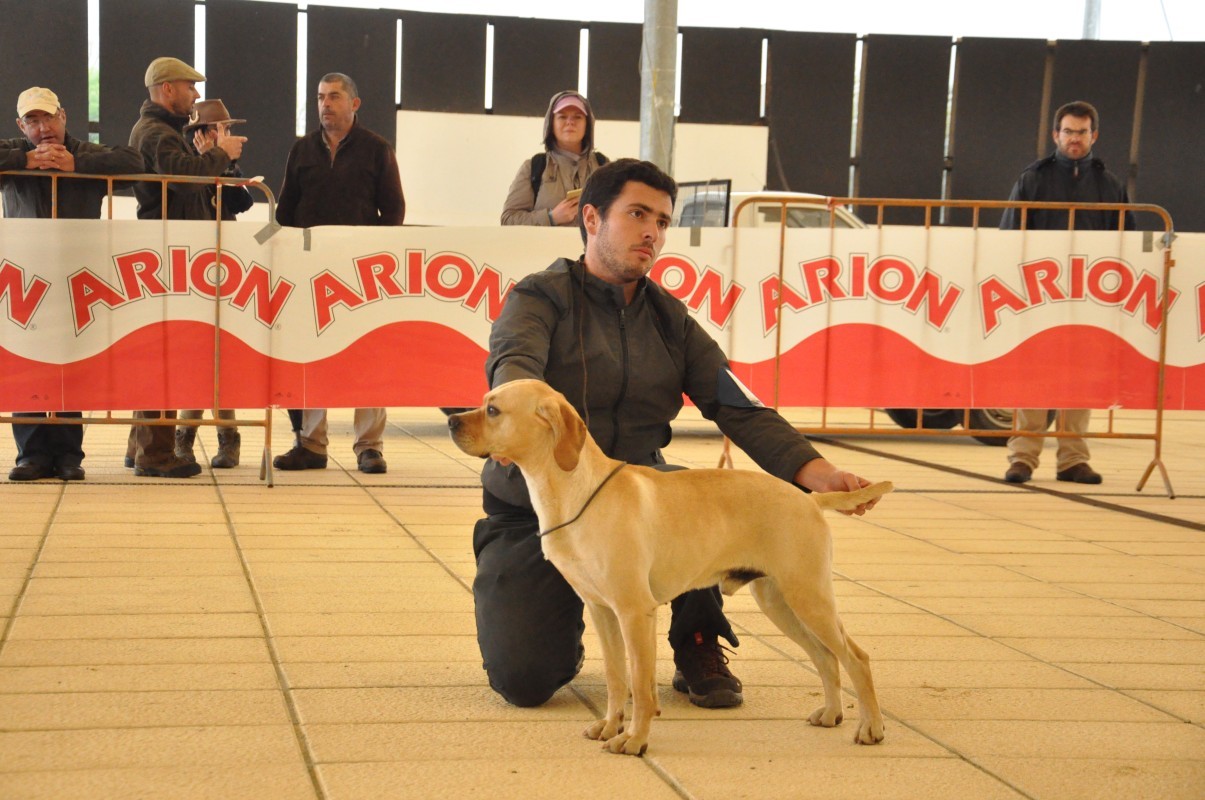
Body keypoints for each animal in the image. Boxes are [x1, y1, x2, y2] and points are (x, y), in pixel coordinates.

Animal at [448, 379, 891, 756]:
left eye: (493, 410)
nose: (452, 421)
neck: (575, 493)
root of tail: (811, 499)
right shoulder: (602, 611)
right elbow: (616, 678)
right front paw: (609, 727)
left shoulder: (634, 612)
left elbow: (640, 687)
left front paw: (633, 739)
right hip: (780, 603)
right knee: (826, 658)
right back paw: (831, 714)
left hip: (809, 598)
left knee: (856, 658)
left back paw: (871, 728)